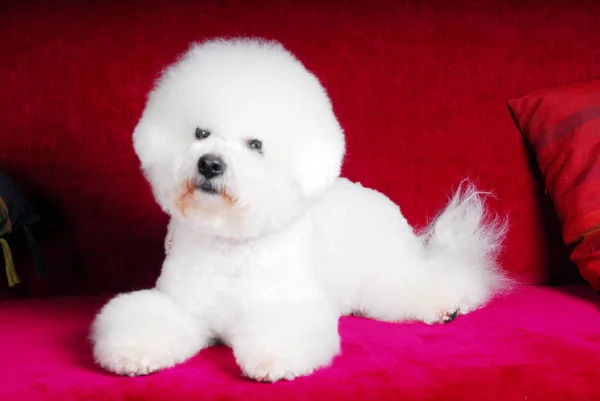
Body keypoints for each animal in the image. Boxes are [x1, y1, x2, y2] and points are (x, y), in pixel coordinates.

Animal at [90, 38, 510, 382]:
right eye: (200, 133)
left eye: (256, 145)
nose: (209, 164)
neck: (231, 243)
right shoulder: (183, 305)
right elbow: (151, 318)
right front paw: (133, 353)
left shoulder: (286, 303)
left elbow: (281, 330)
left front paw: (272, 361)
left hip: (389, 274)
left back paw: (448, 303)